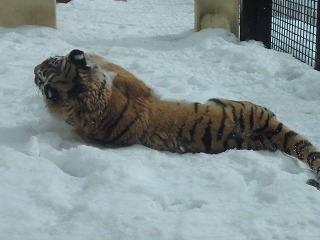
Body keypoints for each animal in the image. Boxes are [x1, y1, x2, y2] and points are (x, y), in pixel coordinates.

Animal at [33, 49, 320, 189]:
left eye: (48, 64)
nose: (34, 71)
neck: (83, 99)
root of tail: (269, 131)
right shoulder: (134, 87)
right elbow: (110, 66)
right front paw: (87, 58)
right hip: (237, 104)